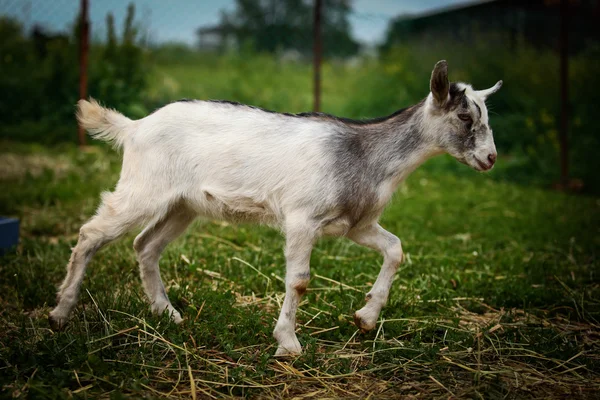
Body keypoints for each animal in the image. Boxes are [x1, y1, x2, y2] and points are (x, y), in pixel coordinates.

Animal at [50, 60, 502, 356]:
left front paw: (366, 318)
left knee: (145, 245)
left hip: (181, 205)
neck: (363, 155)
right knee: (91, 234)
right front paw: (288, 343)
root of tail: (134, 127)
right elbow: (299, 281)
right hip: (142, 189)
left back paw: (168, 315)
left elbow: (396, 249)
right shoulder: (303, 219)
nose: (491, 158)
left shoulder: (357, 224)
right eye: (465, 117)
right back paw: (60, 314)